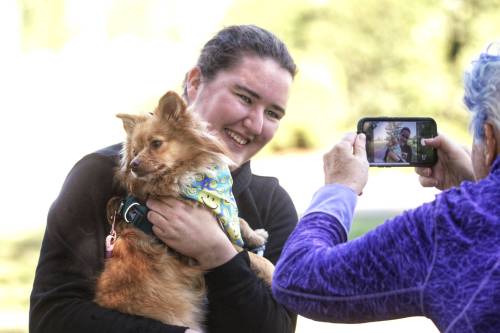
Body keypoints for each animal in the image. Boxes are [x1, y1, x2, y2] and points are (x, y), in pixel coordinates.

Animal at [94, 90, 274, 330]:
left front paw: (256, 235)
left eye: (156, 143)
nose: (133, 164)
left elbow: (240, 221)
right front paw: (274, 273)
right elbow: (250, 256)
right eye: (134, 151)